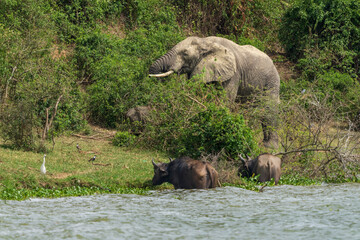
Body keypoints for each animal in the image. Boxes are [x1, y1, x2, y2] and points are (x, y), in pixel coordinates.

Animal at [149, 35, 282, 148]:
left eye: (185, 53)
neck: (206, 42)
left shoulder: (234, 73)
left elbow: (225, 100)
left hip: (272, 80)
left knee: (269, 108)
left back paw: (270, 146)